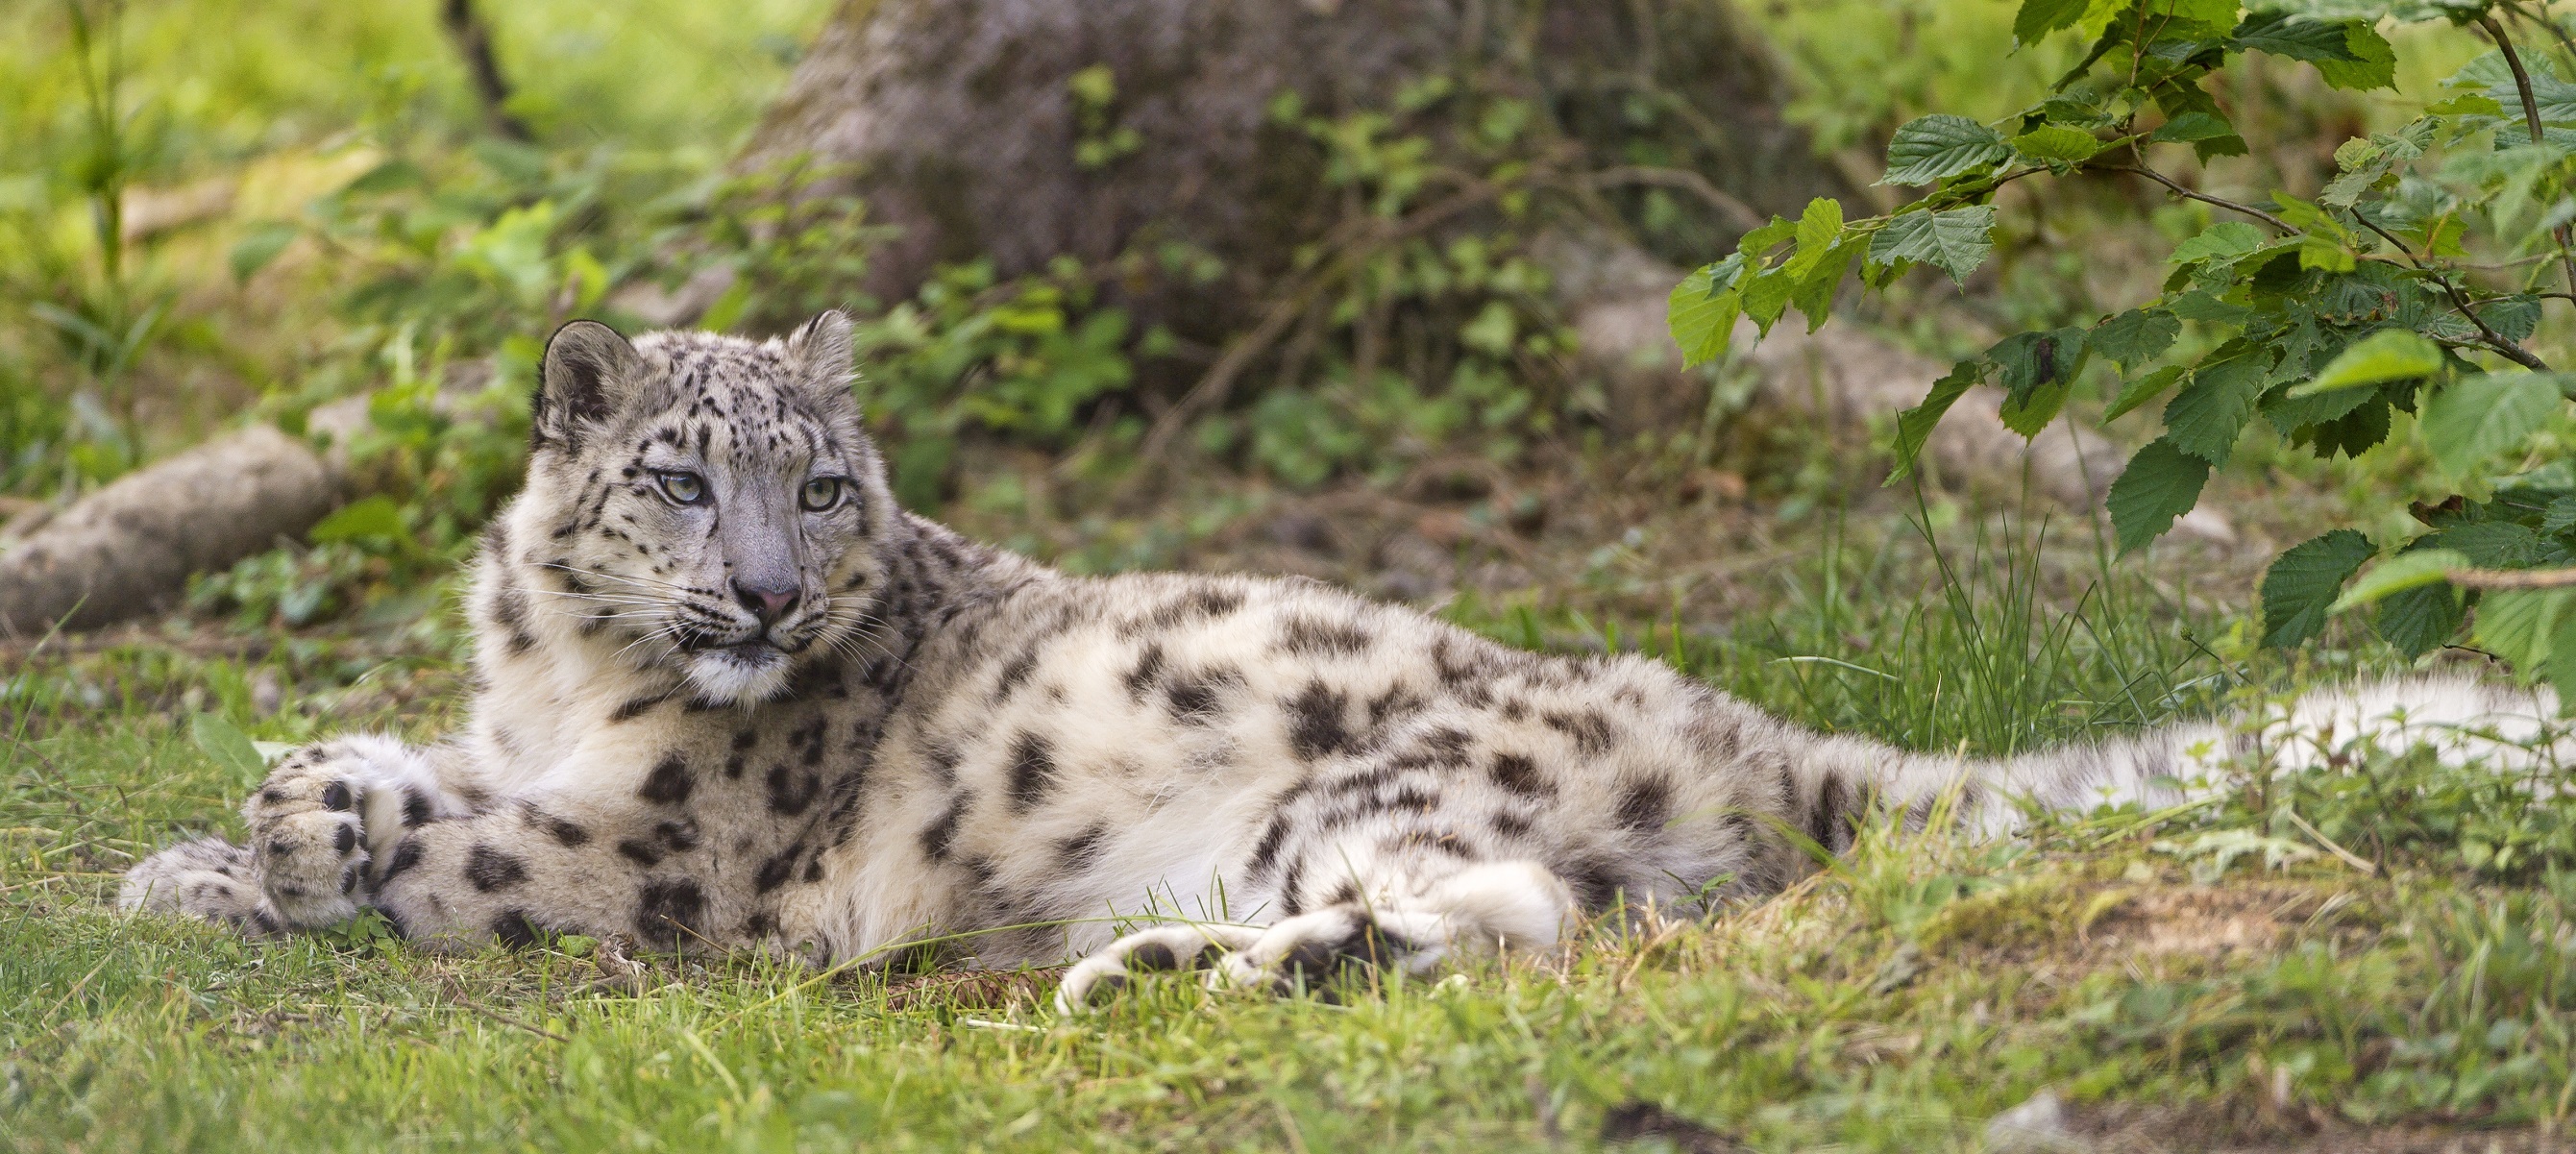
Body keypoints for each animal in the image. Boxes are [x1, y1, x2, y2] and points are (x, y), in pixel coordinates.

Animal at [125, 311, 2576, 1004]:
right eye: (676, 477)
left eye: (819, 486)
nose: (764, 599)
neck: (567, 684)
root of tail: (1730, 715)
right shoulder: (533, 734)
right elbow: (407, 773)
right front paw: (212, 841)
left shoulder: (672, 849)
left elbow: (469, 849)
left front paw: (277, 847)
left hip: (1362, 783)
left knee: (1498, 912)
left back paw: (1171, 977)